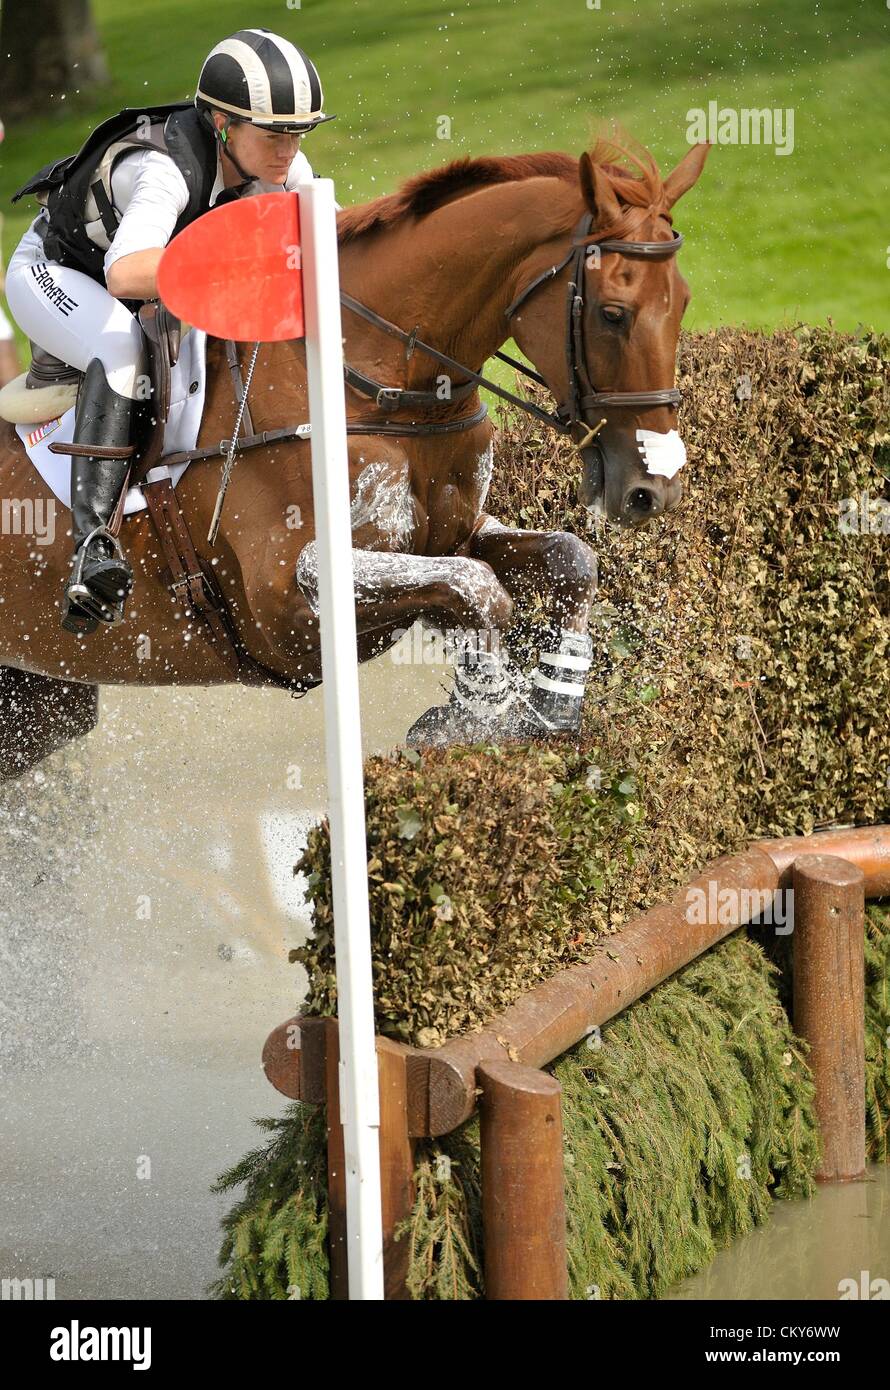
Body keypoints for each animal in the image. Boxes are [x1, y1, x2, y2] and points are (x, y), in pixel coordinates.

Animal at [0, 135, 709, 778]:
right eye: (613, 314)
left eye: (684, 301)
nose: (654, 489)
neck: (383, 385)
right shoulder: (283, 603)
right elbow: (475, 587)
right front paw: (476, 715)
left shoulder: (454, 533)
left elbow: (566, 559)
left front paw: (546, 706)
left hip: (40, 709)